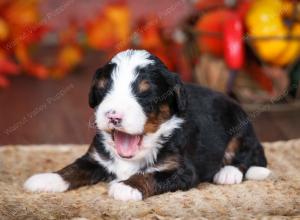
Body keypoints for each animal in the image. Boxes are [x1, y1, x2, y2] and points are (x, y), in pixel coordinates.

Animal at [24, 49, 270, 201]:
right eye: (103, 89)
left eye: (145, 94)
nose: (113, 116)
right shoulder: (96, 157)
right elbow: (73, 167)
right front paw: (47, 179)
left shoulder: (182, 170)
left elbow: (151, 175)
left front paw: (127, 186)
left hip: (241, 127)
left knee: (249, 155)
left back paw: (228, 173)